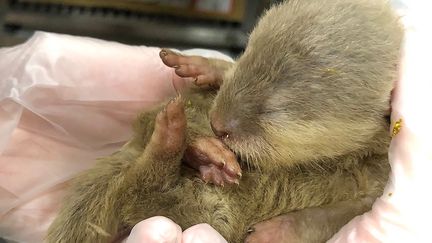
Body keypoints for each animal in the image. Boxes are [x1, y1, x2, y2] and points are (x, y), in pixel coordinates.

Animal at [45, 0, 404, 242]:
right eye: (246, 54)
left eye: (273, 110)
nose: (219, 125)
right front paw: (204, 67)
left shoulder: (376, 180)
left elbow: (339, 216)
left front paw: (273, 232)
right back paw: (197, 146)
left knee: (140, 190)